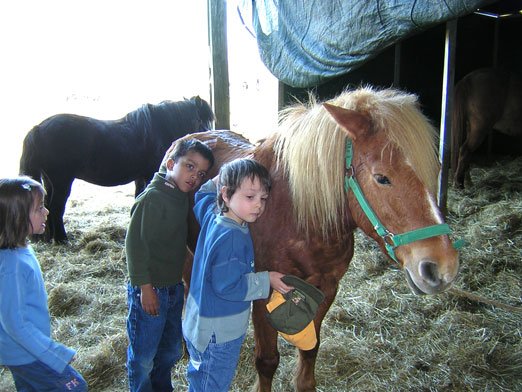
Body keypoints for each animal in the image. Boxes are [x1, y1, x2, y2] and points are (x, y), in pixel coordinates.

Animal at [18, 95, 213, 242]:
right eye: (200, 119)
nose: (209, 140)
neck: (158, 128)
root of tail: (37, 129)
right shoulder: (149, 174)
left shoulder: (140, 177)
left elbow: (138, 196)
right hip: (62, 180)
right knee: (56, 206)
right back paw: (61, 239)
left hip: (49, 180)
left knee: (47, 205)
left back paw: (47, 238)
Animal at [177, 88, 458, 392]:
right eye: (382, 178)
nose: (442, 266)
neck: (297, 215)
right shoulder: (262, 294)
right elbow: (267, 360)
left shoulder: (326, 288)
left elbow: (310, 347)